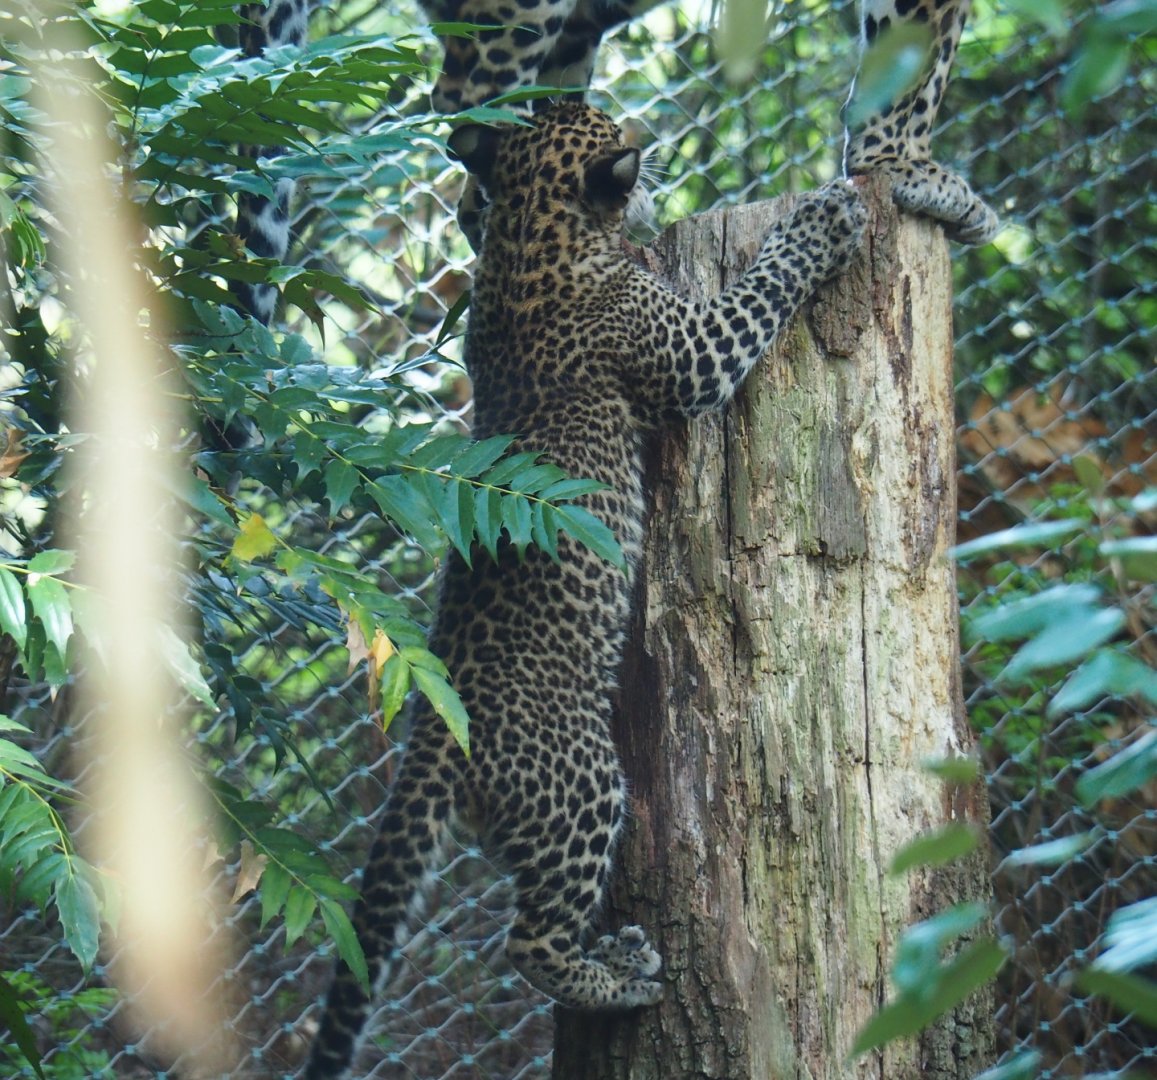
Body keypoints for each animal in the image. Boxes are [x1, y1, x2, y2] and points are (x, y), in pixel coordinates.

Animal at [302, 100, 867, 1078]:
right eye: (625, 149)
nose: (655, 173)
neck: (530, 233)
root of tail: (431, 740)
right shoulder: (691, 350)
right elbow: (764, 285)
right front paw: (820, 221)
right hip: (583, 782)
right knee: (526, 942)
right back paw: (619, 974)